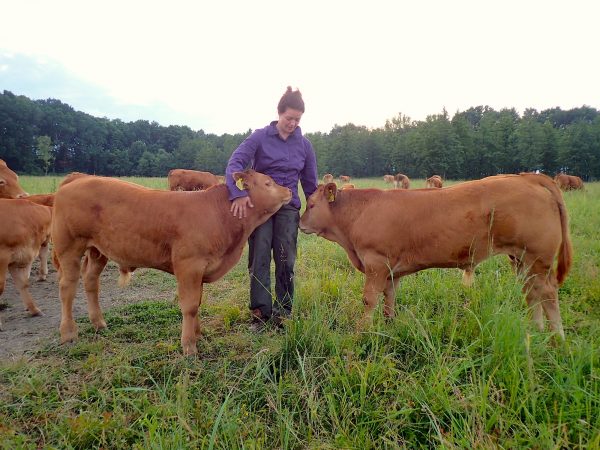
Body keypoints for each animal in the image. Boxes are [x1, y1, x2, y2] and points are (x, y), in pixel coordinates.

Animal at [52, 169, 292, 356]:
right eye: (268, 182)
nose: (289, 191)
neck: (221, 214)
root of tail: (80, 177)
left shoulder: (200, 270)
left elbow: (198, 303)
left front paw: (198, 334)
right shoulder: (189, 266)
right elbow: (190, 306)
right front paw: (189, 346)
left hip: (98, 251)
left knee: (91, 281)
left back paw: (99, 323)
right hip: (70, 247)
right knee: (67, 288)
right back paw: (68, 333)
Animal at [300, 174, 572, 340]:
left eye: (311, 204)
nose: (300, 224)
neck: (359, 212)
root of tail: (529, 177)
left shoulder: (376, 263)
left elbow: (369, 300)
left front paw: (361, 332)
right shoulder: (392, 270)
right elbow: (390, 298)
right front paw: (389, 326)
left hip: (537, 258)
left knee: (547, 294)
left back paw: (557, 339)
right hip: (521, 260)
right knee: (532, 293)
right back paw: (536, 331)